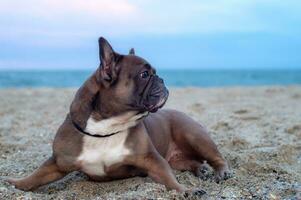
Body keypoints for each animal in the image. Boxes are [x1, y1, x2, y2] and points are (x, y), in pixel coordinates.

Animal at [7, 36, 231, 195]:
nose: (162, 79)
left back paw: (221, 171)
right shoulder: (58, 162)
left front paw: (185, 190)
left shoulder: (152, 160)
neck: (106, 127)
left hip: (193, 135)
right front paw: (15, 183)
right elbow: (36, 176)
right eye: (144, 74)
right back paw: (201, 170)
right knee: (191, 162)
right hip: (179, 157)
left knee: (215, 157)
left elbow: (169, 179)